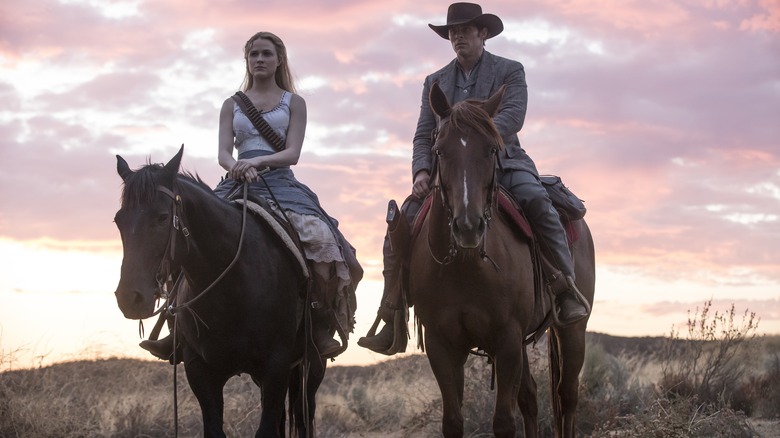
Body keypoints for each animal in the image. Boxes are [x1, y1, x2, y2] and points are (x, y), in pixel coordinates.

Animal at [112, 148, 322, 438]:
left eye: (163, 217)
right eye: (118, 220)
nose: (130, 298)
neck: (232, 290)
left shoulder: (276, 367)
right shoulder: (200, 370)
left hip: (311, 367)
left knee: (304, 416)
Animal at [408, 83, 596, 438]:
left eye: (492, 150)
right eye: (439, 150)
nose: (468, 226)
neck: (466, 267)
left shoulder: (506, 339)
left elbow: (504, 423)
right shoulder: (443, 345)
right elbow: (453, 421)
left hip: (572, 329)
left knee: (567, 396)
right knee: (531, 398)